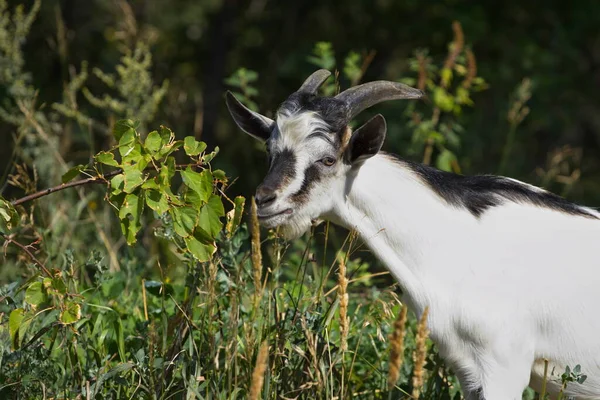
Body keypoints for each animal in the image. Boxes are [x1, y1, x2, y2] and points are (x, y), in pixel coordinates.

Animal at [224, 69, 600, 400]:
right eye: (269, 152)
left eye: (328, 159)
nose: (265, 200)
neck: (462, 244)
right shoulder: (468, 368)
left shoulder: (505, 364)